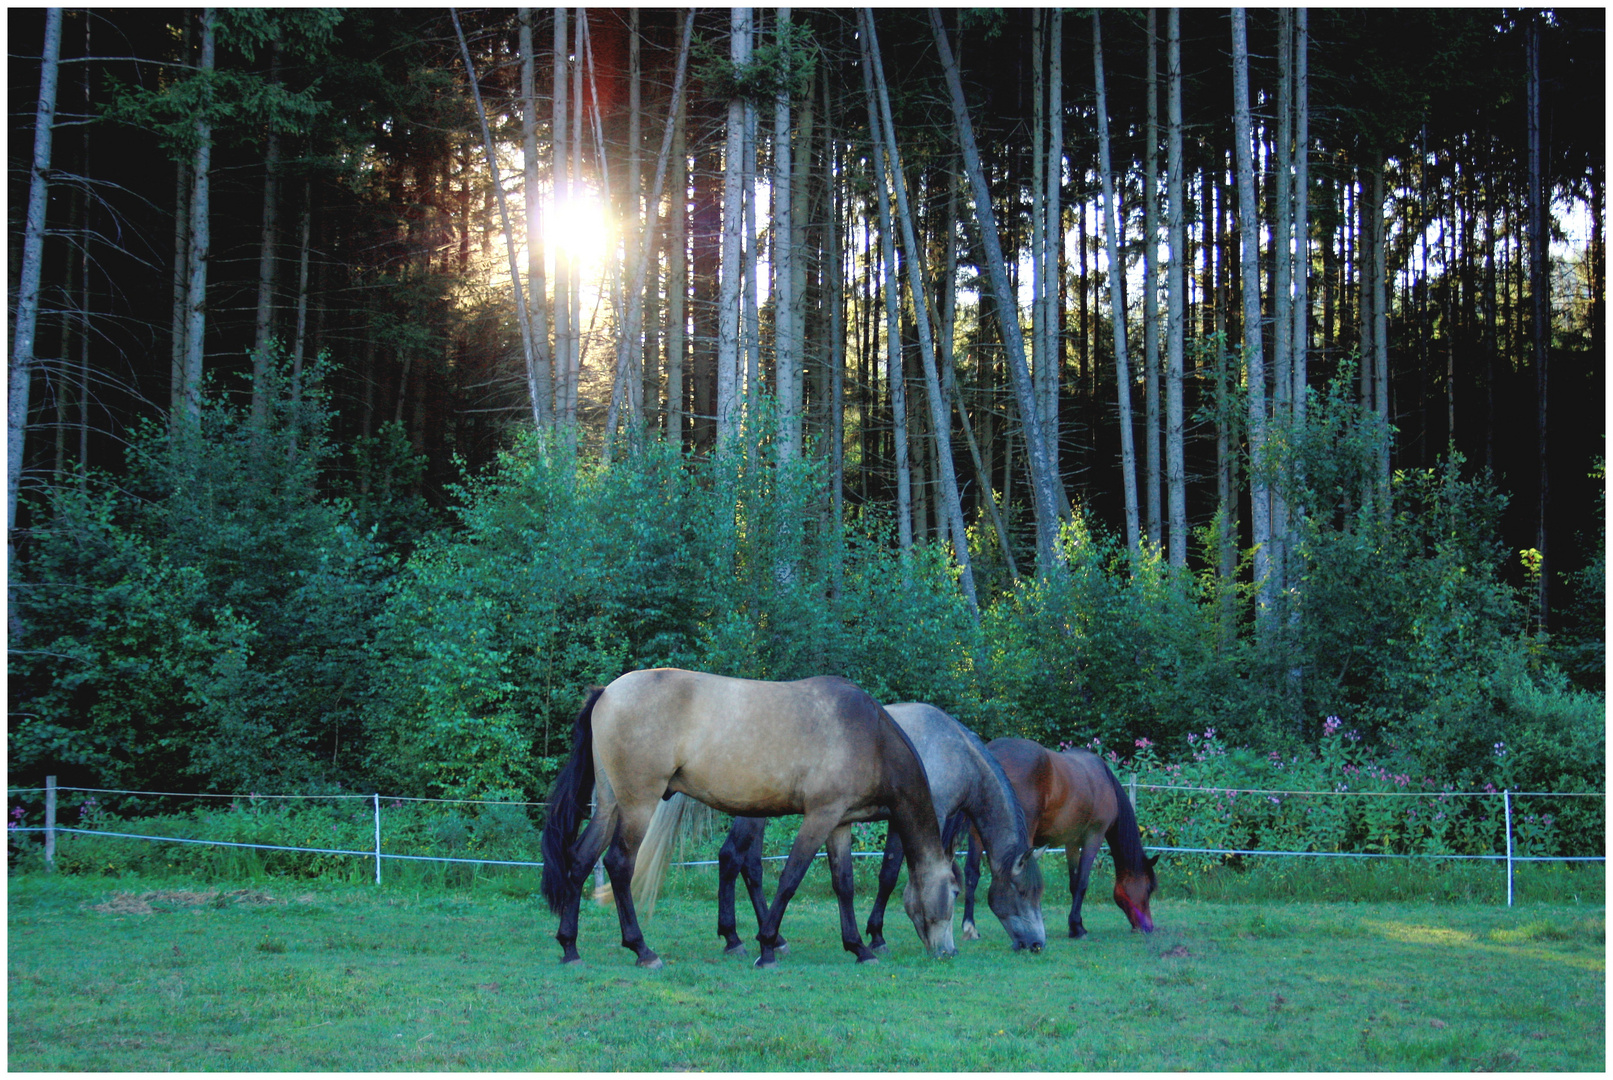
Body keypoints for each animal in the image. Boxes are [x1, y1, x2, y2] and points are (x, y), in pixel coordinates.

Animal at [538, 667, 954, 973]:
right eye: (953, 893)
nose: (948, 952)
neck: (868, 733)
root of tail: (607, 692)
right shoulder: (819, 817)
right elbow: (789, 880)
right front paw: (767, 947)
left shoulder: (840, 822)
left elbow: (844, 885)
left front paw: (859, 948)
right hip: (637, 804)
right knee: (619, 864)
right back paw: (642, 949)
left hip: (610, 806)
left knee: (580, 859)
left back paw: (570, 947)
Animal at [700, 706, 1051, 960]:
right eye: (1023, 892)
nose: (1037, 944)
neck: (955, 751)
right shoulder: (924, 816)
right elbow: (893, 875)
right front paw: (878, 936)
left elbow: (889, 874)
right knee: (731, 858)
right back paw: (734, 938)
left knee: (750, 867)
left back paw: (772, 939)